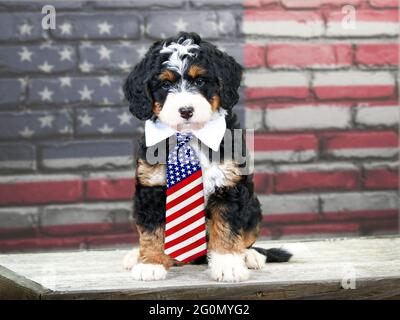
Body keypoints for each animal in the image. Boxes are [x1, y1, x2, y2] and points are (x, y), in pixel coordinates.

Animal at [122, 32, 290, 282]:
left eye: (200, 81)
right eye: (165, 84)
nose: (186, 110)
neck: (190, 135)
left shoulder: (229, 186)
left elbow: (227, 229)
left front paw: (228, 264)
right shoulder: (151, 189)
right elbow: (152, 230)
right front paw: (150, 263)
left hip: (253, 207)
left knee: (247, 239)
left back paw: (250, 256)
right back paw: (137, 256)